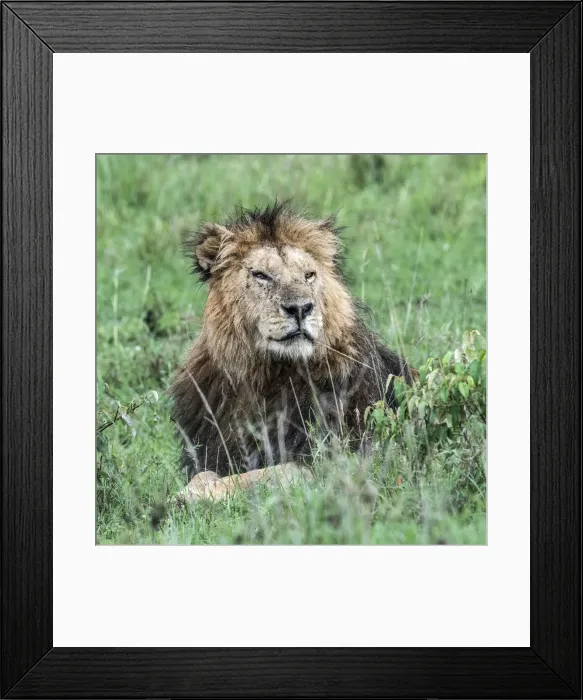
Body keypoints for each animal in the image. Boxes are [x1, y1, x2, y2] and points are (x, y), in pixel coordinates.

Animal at [170, 202, 415, 485]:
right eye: (261, 275)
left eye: (309, 275)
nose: (300, 308)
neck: (264, 378)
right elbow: (204, 475)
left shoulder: (325, 462)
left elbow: (244, 479)